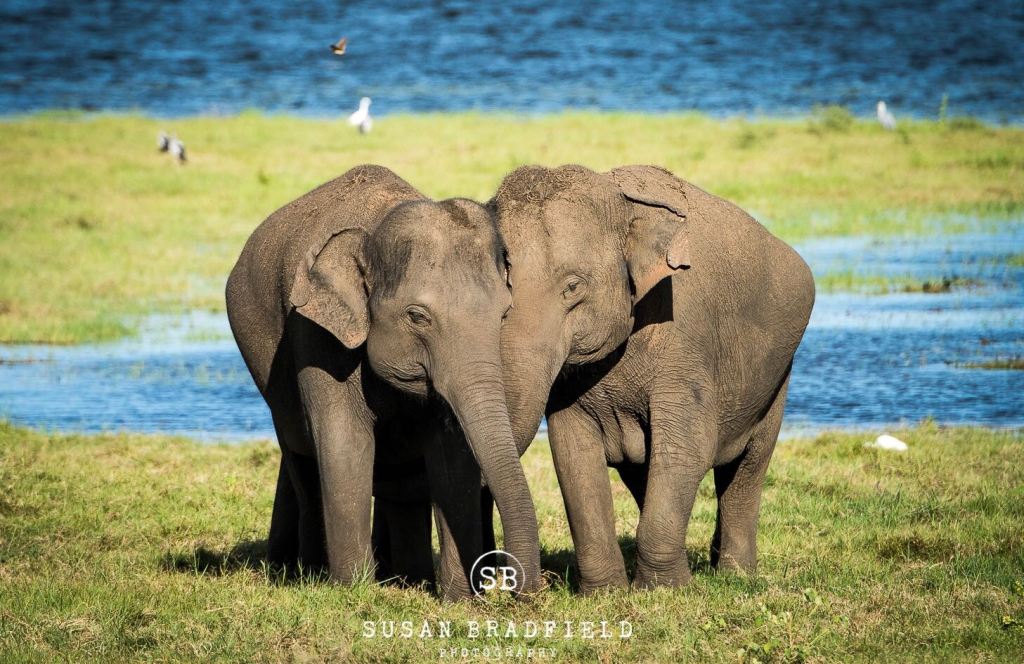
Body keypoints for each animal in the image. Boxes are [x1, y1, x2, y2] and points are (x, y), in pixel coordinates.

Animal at [225, 165, 541, 600]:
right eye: (417, 316)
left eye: (504, 313)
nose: (516, 590)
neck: (378, 225)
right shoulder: (314, 333)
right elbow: (345, 442)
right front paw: (353, 592)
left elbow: (451, 453)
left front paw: (457, 600)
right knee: (302, 460)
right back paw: (307, 572)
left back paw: (408, 578)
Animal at [482, 164, 814, 592]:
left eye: (573, 287)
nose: (512, 583)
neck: (623, 205)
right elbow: (573, 453)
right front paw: (606, 594)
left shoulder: (685, 342)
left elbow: (689, 445)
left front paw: (665, 591)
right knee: (644, 475)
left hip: (776, 377)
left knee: (748, 468)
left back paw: (734, 574)